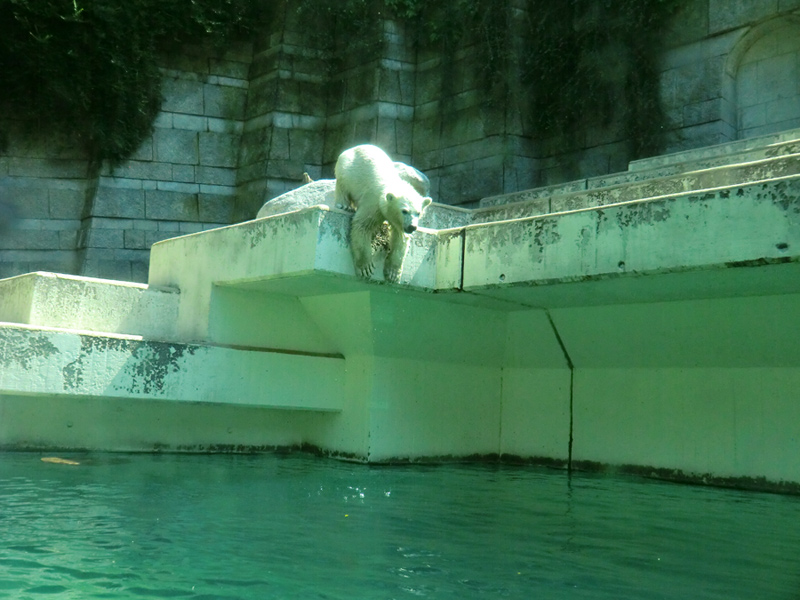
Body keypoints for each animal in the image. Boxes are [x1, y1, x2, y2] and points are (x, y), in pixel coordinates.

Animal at [332, 147, 432, 284]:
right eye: (404, 211)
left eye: (418, 213)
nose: (412, 227)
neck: (392, 186)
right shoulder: (373, 202)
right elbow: (362, 226)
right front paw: (366, 267)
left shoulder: (399, 222)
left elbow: (400, 237)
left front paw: (393, 273)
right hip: (346, 168)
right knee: (342, 184)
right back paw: (344, 205)